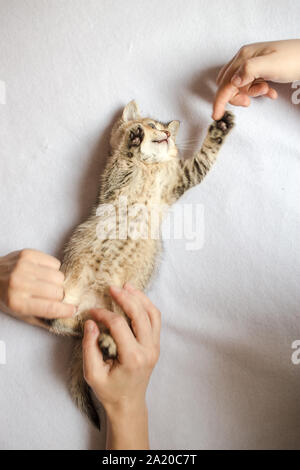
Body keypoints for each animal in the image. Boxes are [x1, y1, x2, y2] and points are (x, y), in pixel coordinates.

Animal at [47, 101, 234, 428]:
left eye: (166, 130)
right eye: (151, 124)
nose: (165, 135)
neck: (151, 167)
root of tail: (88, 309)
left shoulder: (182, 177)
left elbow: (205, 155)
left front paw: (220, 127)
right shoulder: (113, 181)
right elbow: (122, 162)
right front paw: (133, 139)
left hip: (115, 309)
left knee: (83, 327)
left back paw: (106, 342)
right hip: (68, 292)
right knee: (58, 324)